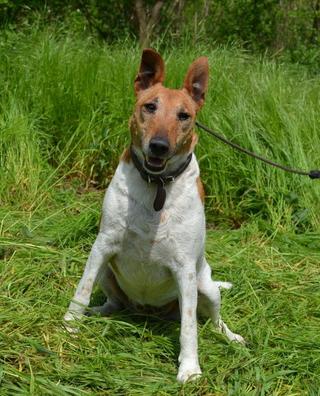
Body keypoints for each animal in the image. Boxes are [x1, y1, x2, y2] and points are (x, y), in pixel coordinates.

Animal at [63, 48, 244, 382]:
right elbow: (81, 290)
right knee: (114, 302)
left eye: (184, 116)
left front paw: (190, 368)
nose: (159, 147)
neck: (157, 184)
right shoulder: (102, 246)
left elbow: (189, 327)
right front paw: (69, 326)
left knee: (213, 319)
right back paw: (99, 313)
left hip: (206, 287)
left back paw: (231, 336)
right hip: (108, 273)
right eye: (149, 106)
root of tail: (147, 311)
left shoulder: (185, 269)